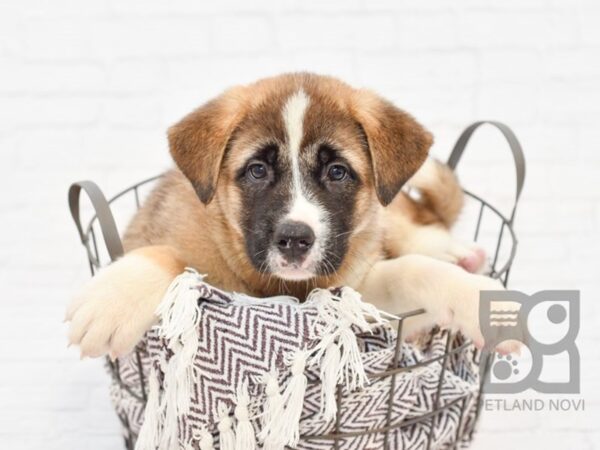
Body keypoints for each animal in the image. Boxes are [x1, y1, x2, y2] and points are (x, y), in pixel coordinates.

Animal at [65, 74, 508, 362]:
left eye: (337, 172)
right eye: (257, 170)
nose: (295, 239)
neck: (280, 286)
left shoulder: (353, 293)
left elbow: (414, 270)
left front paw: (479, 300)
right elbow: (174, 258)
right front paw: (113, 299)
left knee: (418, 228)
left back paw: (460, 257)